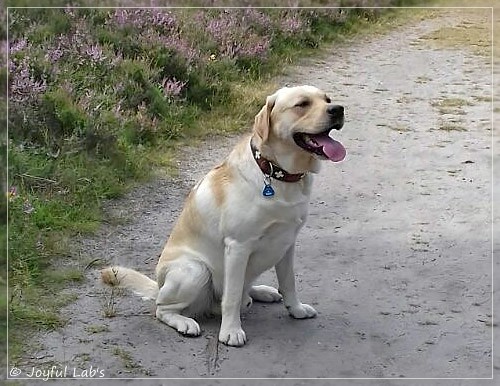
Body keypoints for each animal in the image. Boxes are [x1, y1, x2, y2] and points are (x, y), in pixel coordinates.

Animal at [100, 84, 346, 346]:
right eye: (302, 104)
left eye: (327, 99)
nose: (338, 109)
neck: (277, 174)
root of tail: (159, 285)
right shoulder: (238, 246)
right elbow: (232, 296)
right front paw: (231, 331)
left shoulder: (287, 242)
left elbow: (289, 282)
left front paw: (296, 309)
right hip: (195, 271)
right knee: (163, 309)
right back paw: (185, 322)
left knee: (243, 292)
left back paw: (261, 291)